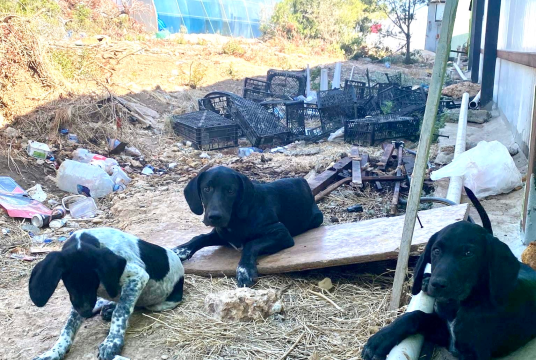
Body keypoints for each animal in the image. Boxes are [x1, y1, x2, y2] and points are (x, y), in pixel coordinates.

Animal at [28, 228, 184, 360]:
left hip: (159, 304)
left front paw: (112, 342)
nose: (85, 312)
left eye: (93, 281)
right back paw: (107, 308)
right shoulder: (78, 301)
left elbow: (121, 312)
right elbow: (68, 327)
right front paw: (54, 352)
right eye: (69, 284)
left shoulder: (137, 277)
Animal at [174, 166, 322, 286]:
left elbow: (251, 244)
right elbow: (199, 237)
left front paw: (244, 270)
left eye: (230, 191)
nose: (214, 217)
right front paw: (180, 250)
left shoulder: (282, 233)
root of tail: (302, 180)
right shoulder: (222, 235)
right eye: (206, 189)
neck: (235, 221)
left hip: (317, 218)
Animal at [360, 188, 536, 360]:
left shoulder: (471, 351)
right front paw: (380, 339)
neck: (459, 305)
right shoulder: (444, 331)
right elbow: (415, 315)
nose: (437, 284)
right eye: (436, 251)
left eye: (468, 253)